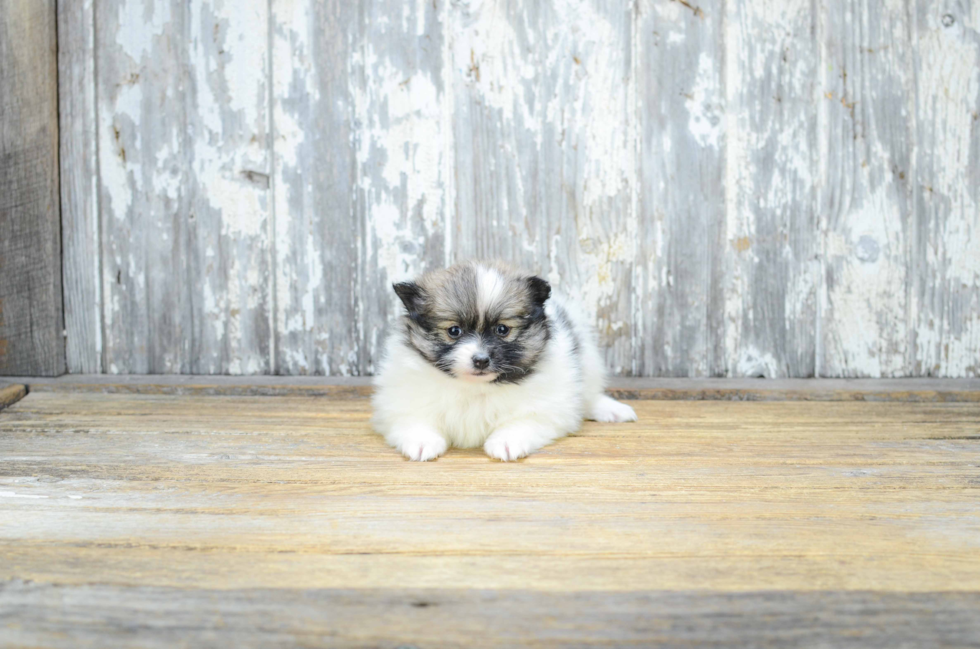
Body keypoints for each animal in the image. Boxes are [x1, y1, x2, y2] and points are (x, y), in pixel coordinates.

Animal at [372, 260, 640, 460]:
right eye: (454, 331)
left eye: (502, 329)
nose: (480, 360)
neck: (475, 388)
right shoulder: (401, 402)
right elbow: (414, 420)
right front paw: (421, 442)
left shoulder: (547, 408)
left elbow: (523, 422)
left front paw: (506, 441)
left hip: (588, 361)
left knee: (589, 395)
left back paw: (611, 409)